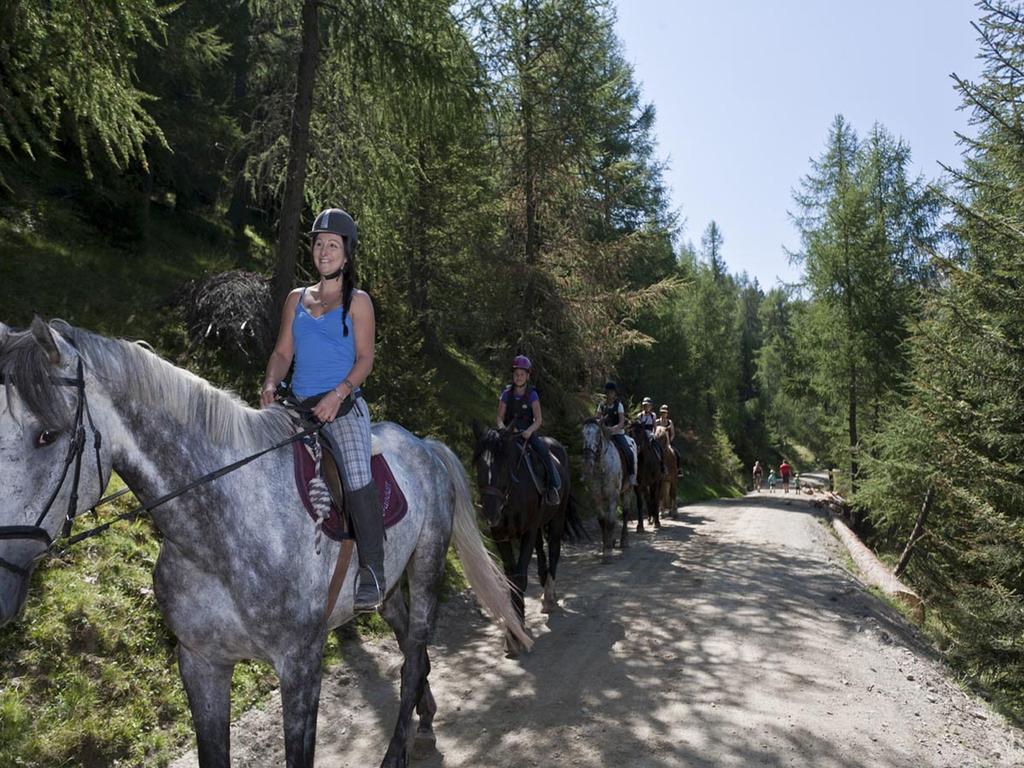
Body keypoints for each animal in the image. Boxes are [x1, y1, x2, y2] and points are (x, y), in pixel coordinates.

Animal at [0, 319, 528, 768]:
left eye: (47, 435)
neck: (219, 532)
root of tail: (425, 446)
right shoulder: (201, 663)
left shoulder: (300, 666)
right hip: (386, 588)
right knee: (406, 646)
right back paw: (426, 718)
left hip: (427, 567)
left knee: (414, 655)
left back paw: (399, 750)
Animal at [581, 417, 634, 561]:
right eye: (582, 434)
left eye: (598, 434)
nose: (588, 462)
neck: (602, 467)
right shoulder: (597, 497)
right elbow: (602, 521)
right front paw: (605, 545)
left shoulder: (612, 496)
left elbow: (610, 521)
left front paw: (608, 552)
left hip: (627, 489)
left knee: (625, 512)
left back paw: (624, 541)